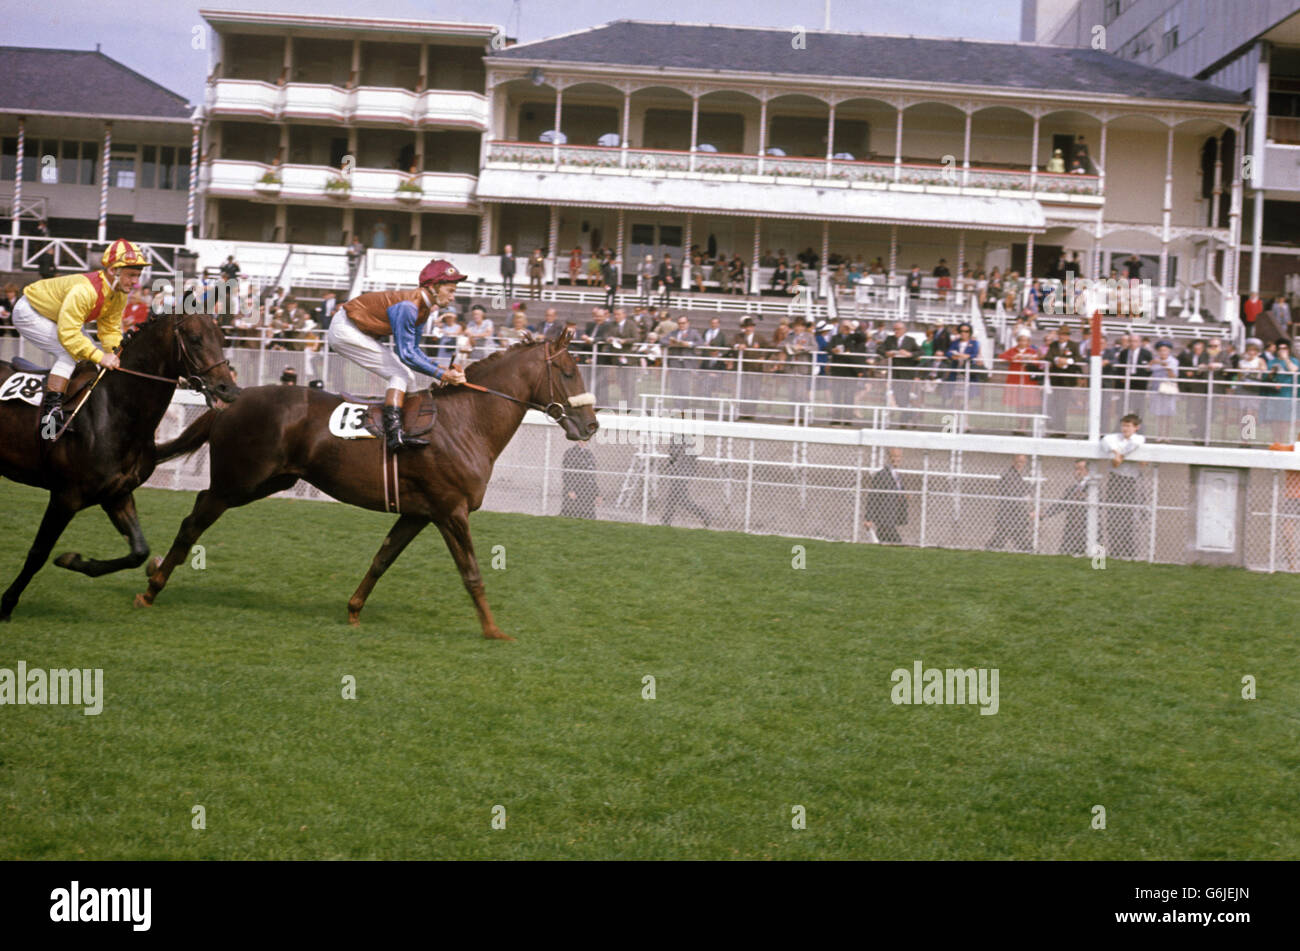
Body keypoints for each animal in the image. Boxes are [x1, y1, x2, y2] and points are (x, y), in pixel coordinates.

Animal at [0, 314, 241, 623]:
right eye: (195, 339)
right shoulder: (65, 497)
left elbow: (139, 551)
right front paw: (7, 603)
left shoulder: (117, 494)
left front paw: (73, 560)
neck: (114, 410)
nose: (229, 390)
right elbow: (38, 552)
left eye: (222, 339)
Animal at [134, 329, 600, 641]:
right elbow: (471, 572)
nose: (591, 425)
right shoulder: (451, 511)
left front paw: (354, 610)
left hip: (269, 480)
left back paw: (155, 572)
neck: (466, 421)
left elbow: (381, 559)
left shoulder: (418, 513)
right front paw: (492, 629)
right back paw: (152, 587)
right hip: (238, 481)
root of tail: (231, 399)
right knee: (193, 521)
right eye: (568, 372)